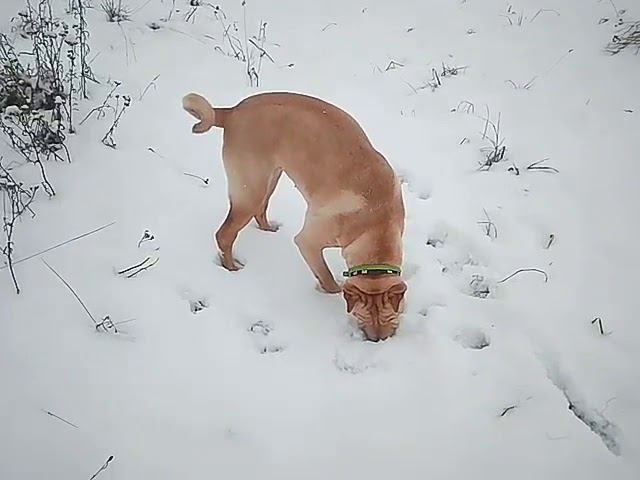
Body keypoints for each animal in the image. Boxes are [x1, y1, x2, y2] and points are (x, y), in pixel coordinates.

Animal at [183, 91, 406, 341]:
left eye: (391, 319)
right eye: (361, 317)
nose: (377, 340)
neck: (376, 224)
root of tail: (231, 113)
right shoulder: (308, 242)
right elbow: (326, 277)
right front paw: (330, 291)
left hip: (271, 177)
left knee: (260, 211)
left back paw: (268, 229)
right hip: (250, 190)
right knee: (224, 234)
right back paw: (232, 268)